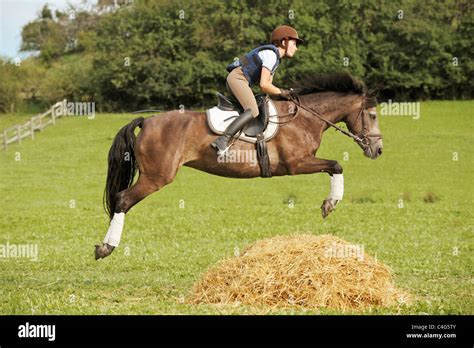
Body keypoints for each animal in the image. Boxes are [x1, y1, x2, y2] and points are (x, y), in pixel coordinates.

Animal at [94, 72, 384, 260]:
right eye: (372, 115)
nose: (378, 150)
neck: (303, 117)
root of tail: (148, 121)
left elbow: (334, 166)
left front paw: (329, 204)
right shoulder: (297, 162)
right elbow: (336, 165)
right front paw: (329, 204)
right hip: (157, 176)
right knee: (122, 200)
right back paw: (106, 248)